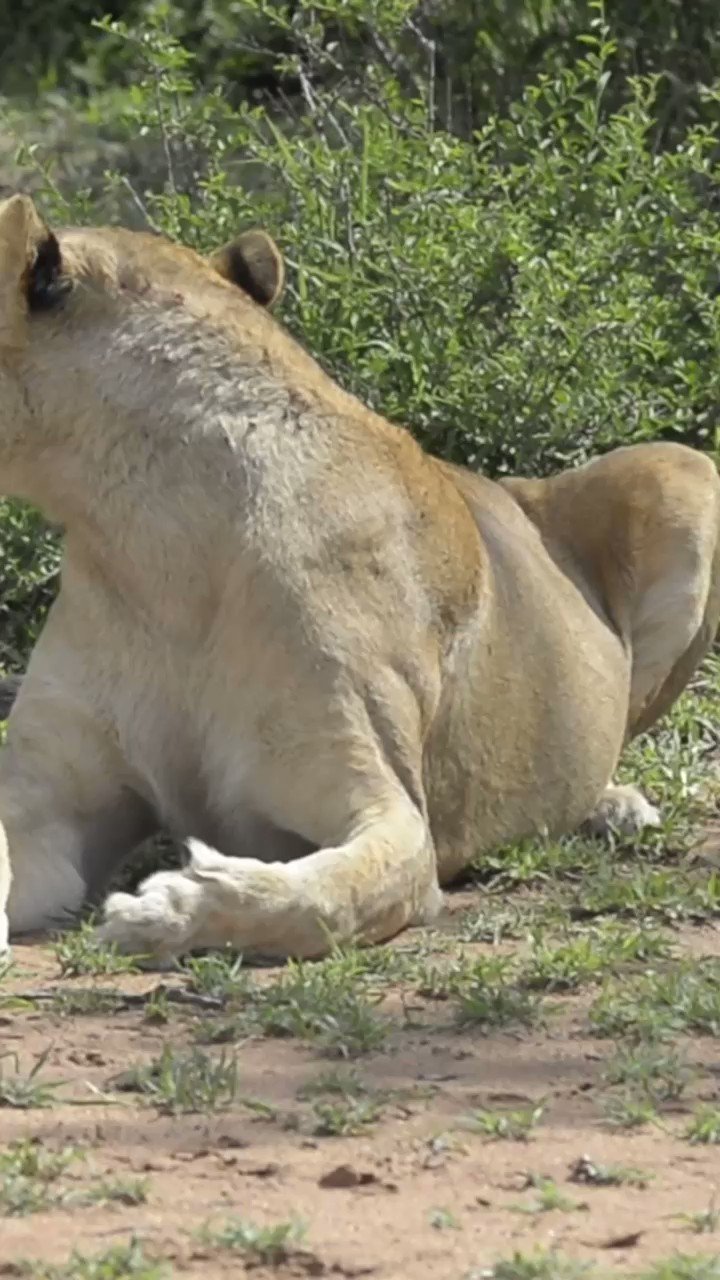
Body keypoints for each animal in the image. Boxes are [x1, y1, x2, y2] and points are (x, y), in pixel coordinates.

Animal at [0, 191, 718, 964]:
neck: (149, 540)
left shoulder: (389, 810)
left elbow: (320, 899)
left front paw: (168, 910)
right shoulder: (44, 800)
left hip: (684, 469)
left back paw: (613, 806)